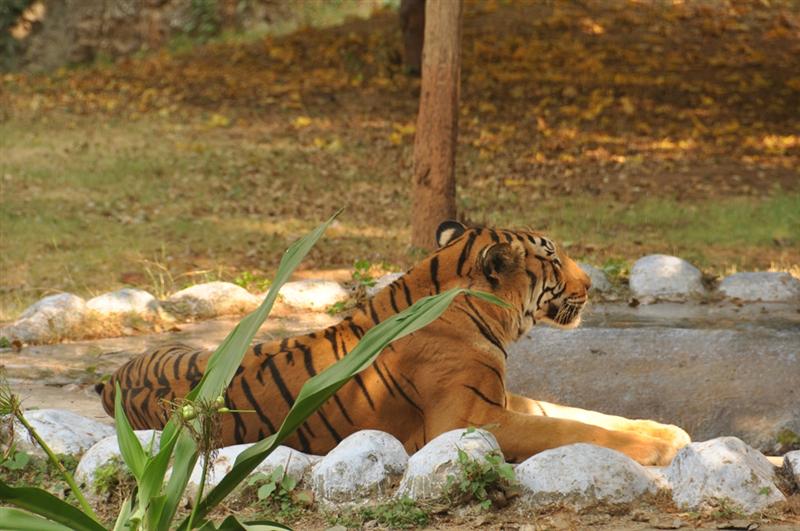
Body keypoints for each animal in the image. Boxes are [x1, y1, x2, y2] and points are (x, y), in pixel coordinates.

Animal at [98, 221, 688, 466]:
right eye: (552, 258)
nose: (591, 284)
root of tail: (109, 381)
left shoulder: (501, 396)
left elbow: (579, 413)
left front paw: (666, 431)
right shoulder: (468, 419)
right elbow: (568, 428)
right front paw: (656, 450)